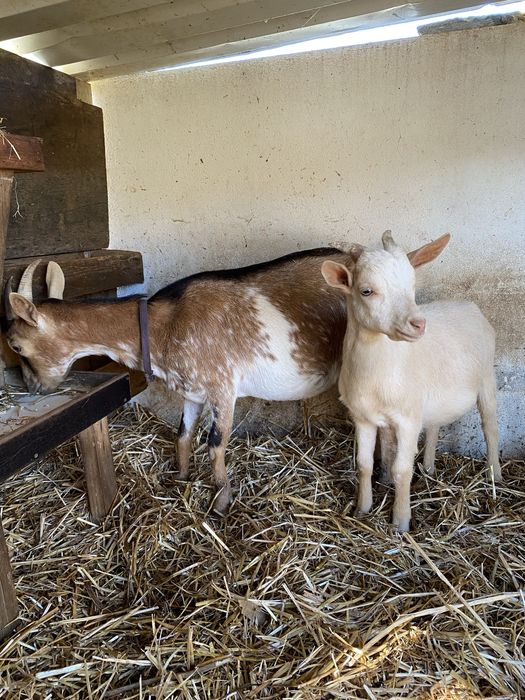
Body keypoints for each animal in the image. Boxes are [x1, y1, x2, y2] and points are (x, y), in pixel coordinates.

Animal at [321, 232, 500, 531]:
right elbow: (364, 464)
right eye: (366, 290)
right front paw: (362, 509)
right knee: (435, 426)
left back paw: (494, 475)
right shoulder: (363, 417)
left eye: (412, 284)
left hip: (487, 377)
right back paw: (428, 468)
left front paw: (400, 522)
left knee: (490, 426)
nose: (418, 324)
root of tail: (467, 304)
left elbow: (402, 468)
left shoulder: (407, 419)